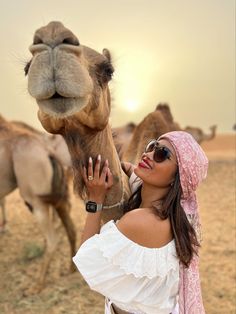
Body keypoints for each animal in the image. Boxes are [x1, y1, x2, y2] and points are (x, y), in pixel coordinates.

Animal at [0, 115, 76, 294]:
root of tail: (49, 153)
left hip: (36, 201)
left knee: (52, 239)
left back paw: (37, 285)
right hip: (57, 198)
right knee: (71, 229)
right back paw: (71, 268)